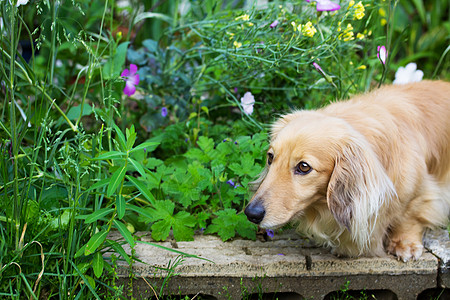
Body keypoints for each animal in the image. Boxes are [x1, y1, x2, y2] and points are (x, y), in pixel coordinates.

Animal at [244, 79, 450, 260]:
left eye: (303, 167)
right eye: (271, 157)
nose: (251, 213)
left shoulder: (421, 189)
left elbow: (409, 214)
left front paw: (404, 243)